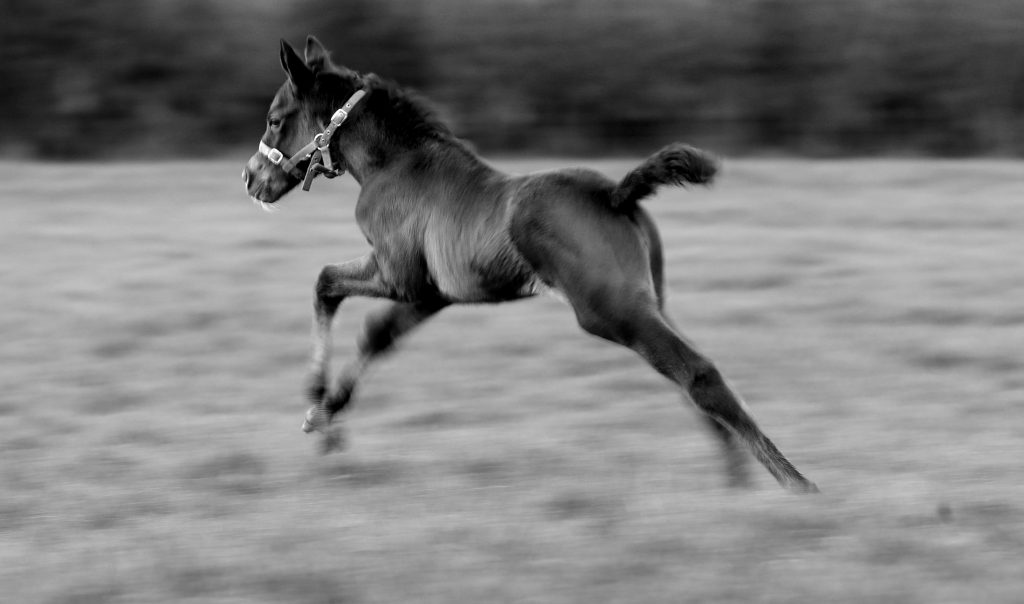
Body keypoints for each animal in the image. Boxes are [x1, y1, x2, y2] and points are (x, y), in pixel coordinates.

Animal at [241, 36, 815, 491]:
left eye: (275, 119)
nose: (250, 179)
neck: (396, 164)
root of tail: (616, 194)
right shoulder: (431, 294)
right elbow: (377, 336)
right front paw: (326, 418)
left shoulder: (398, 274)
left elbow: (324, 283)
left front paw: (315, 403)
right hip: (651, 299)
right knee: (686, 375)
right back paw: (737, 481)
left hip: (611, 309)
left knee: (697, 372)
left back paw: (797, 486)